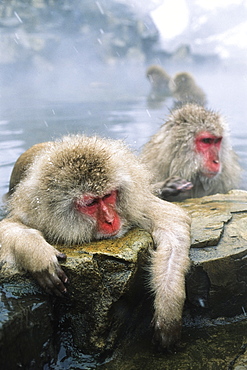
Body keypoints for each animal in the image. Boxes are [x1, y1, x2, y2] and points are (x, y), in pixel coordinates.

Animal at [0, 134, 191, 348]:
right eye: (90, 203)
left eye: (108, 196)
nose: (110, 220)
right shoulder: (34, 214)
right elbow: (7, 227)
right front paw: (39, 256)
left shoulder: (135, 204)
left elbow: (174, 224)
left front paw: (168, 308)